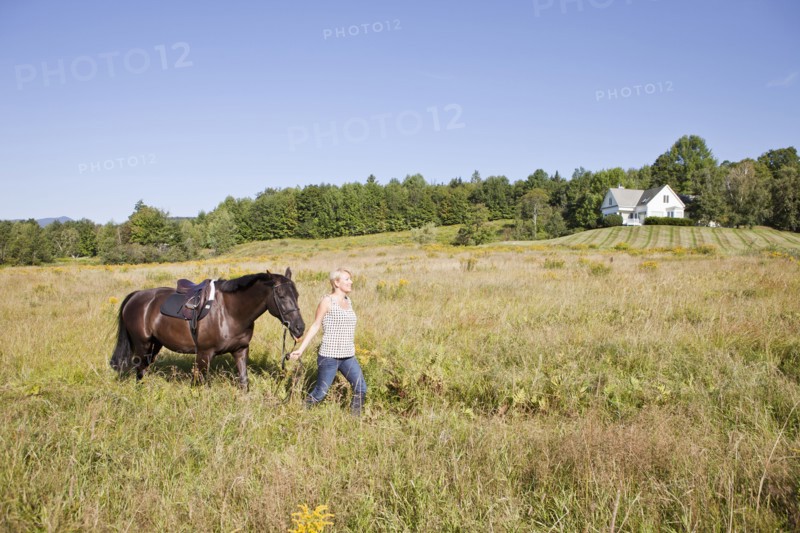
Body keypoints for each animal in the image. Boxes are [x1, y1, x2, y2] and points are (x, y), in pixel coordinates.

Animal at [109, 268, 305, 390]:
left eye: (297, 295)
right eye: (281, 295)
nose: (300, 327)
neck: (229, 312)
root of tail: (136, 295)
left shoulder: (240, 350)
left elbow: (244, 382)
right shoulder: (204, 354)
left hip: (155, 345)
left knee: (143, 368)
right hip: (142, 345)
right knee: (139, 369)